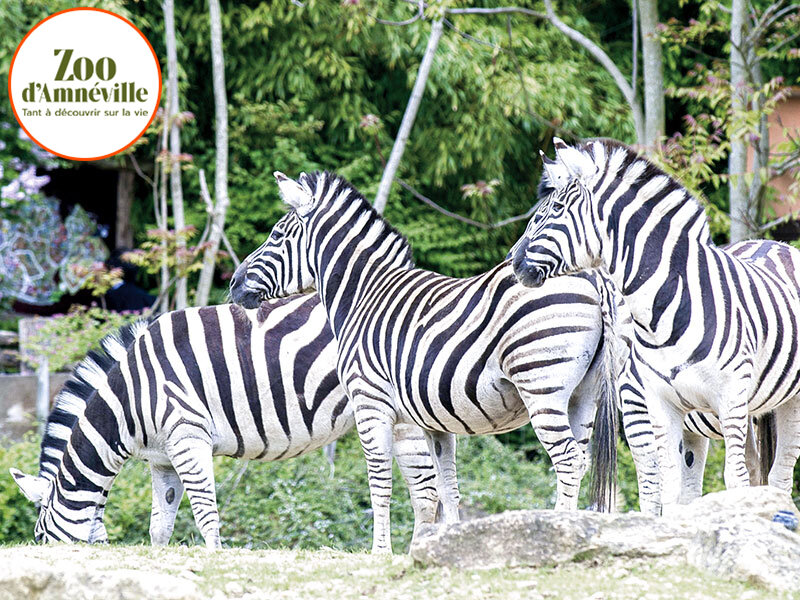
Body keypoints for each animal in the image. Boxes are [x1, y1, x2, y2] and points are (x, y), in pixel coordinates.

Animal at [10, 296, 441, 548]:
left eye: (40, 538)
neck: (130, 398)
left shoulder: (188, 438)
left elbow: (206, 516)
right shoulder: (162, 459)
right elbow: (159, 525)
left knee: (425, 491)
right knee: (425, 492)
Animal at [229, 170, 621, 553]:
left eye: (276, 234)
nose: (233, 283)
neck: (364, 295)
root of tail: (592, 276)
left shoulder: (369, 404)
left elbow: (380, 487)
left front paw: (381, 553)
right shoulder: (435, 422)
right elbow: (446, 490)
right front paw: (447, 543)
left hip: (541, 385)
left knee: (567, 461)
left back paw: (560, 530)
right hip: (584, 395)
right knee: (580, 460)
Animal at [511, 138, 800, 512]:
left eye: (556, 208)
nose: (514, 263)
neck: (668, 307)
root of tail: (775, 244)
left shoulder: (727, 398)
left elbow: (729, 479)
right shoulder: (659, 403)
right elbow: (669, 487)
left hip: (784, 401)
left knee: (779, 473)